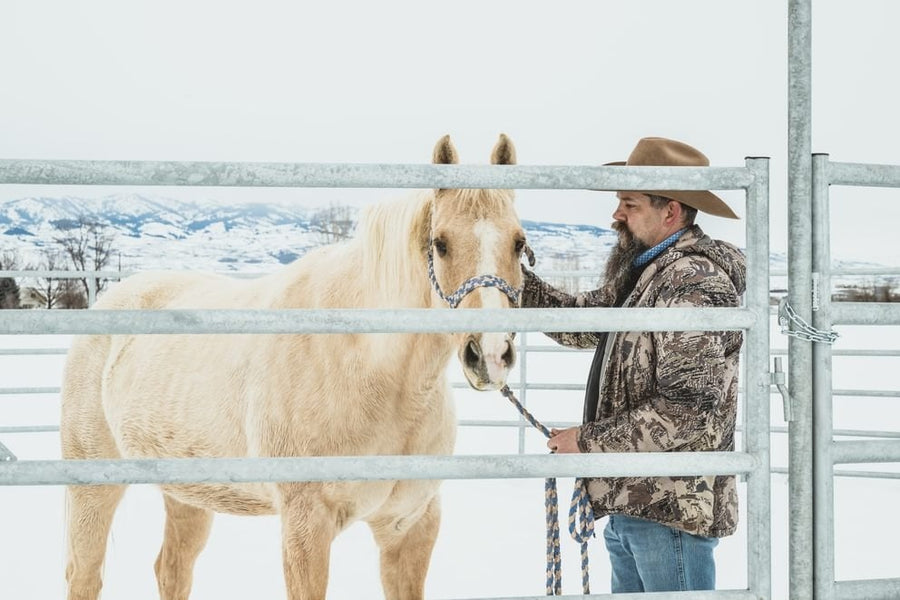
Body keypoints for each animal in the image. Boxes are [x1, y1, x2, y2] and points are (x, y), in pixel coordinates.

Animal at [60, 133, 527, 600]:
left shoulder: (410, 525)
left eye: (519, 243)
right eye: (441, 243)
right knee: (85, 574)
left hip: (188, 494)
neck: (373, 377)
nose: (490, 355)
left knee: (171, 570)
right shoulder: (307, 527)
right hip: (93, 487)